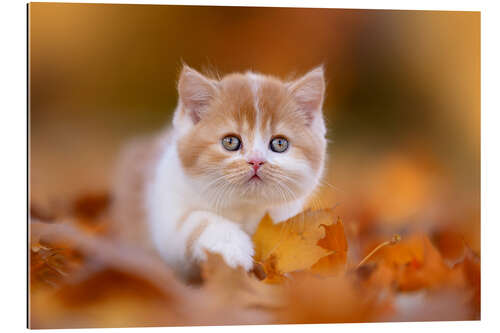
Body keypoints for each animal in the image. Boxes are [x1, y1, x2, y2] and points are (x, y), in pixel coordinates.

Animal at [112, 64, 328, 278]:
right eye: (230, 142)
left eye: (279, 144)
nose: (256, 161)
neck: (244, 208)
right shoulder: (165, 209)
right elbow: (193, 222)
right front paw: (232, 248)